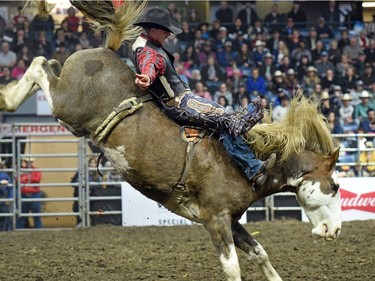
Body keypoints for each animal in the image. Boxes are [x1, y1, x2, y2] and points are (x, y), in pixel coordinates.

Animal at [0, 1, 344, 278]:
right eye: (336, 186)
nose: (336, 230)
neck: (248, 162)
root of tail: (106, 51)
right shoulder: (215, 218)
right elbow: (232, 267)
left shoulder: (231, 219)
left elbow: (260, 253)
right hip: (68, 108)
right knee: (39, 65)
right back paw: (8, 98)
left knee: (49, 65)